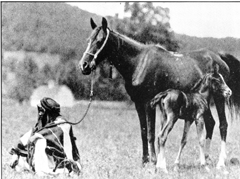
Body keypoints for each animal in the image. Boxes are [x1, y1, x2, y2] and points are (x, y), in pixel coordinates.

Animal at [78, 17, 239, 170]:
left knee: (223, 125)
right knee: (211, 123)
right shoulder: (138, 104)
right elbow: (143, 132)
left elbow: (151, 133)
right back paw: (206, 159)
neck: (139, 63)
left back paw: (220, 163)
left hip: (219, 97)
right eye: (88, 40)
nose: (84, 65)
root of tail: (220, 58)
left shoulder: (149, 103)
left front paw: (154, 162)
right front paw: (144, 162)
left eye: (99, 41)